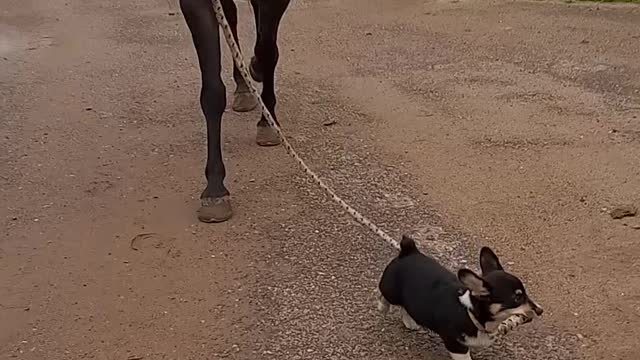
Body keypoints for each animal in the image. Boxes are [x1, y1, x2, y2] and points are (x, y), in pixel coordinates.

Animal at [378, 235, 544, 358]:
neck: (471, 315)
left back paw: (410, 322)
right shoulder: (456, 346)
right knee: (386, 297)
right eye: (517, 298)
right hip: (390, 291)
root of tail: (409, 251)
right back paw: (382, 307)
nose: (540, 310)